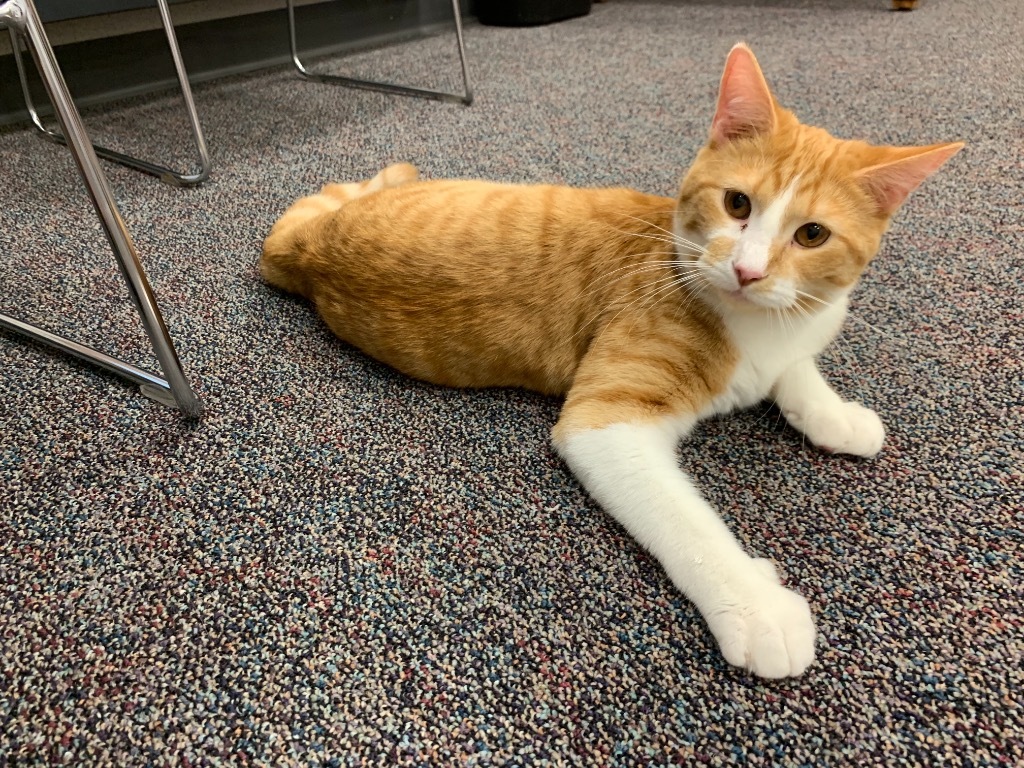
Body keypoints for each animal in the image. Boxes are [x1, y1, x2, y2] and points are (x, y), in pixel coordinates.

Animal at [262, 45, 958, 675]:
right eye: (737, 204)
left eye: (812, 234)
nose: (747, 271)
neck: (756, 322)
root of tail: (311, 249)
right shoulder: (605, 423)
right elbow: (692, 529)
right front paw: (756, 606)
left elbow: (799, 373)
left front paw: (834, 413)